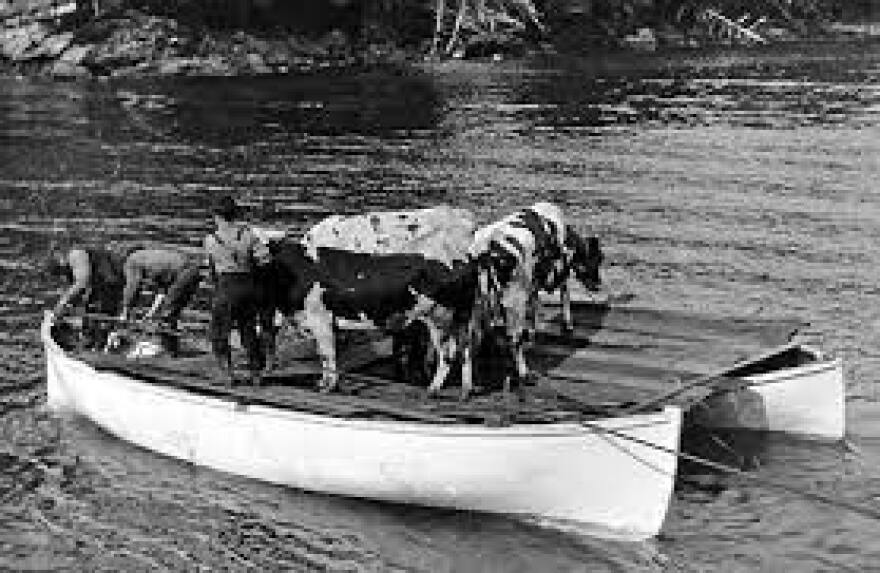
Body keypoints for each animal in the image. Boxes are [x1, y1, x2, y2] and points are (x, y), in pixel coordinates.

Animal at [264, 240, 484, 398]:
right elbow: (326, 354)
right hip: (461, 317)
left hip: (439, 317)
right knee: (466, 348)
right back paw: (466, 390)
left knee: (448, 354)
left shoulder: (320, 319)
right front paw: (326, 383)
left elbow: (327, 354)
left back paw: (433, 389)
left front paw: (326, 386)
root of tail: (463, 258)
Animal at [468, 201, 604, 388]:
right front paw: (567, 324)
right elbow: (564, 292)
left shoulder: (533, 281)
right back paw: (525, 374)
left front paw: (534, 330)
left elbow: (534, 303)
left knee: (474, 338)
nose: (598, 284)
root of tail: (486, 246)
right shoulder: (559, 268)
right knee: (514, 338)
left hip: (475, 304)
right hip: (514, 301)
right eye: (597, 258)